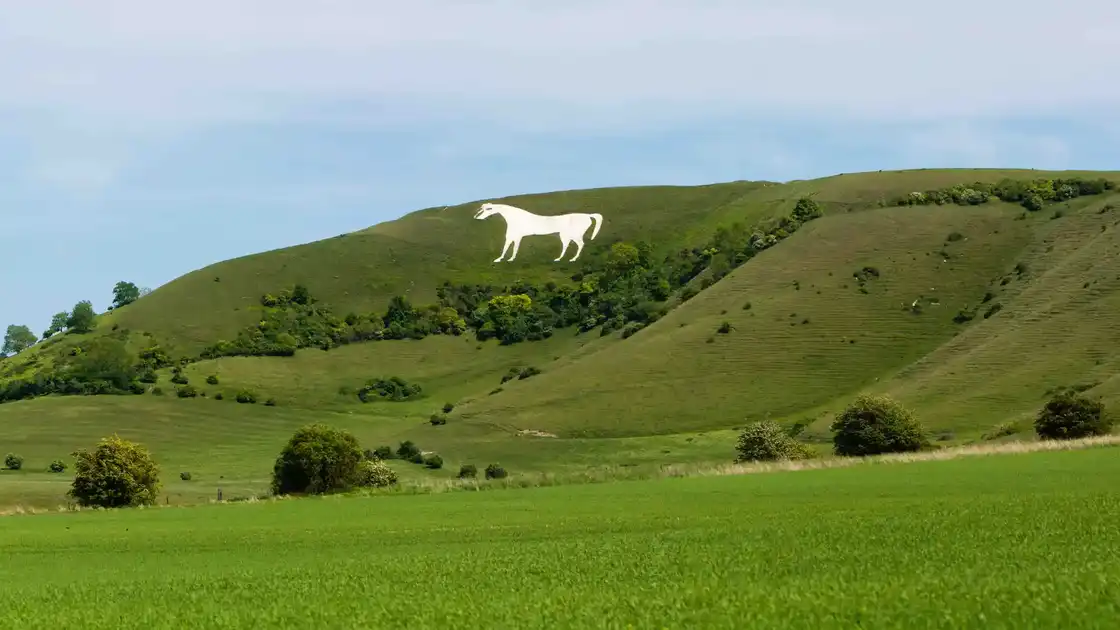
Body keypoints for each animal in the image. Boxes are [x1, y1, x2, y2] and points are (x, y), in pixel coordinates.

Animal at [473, 202, 603, 262]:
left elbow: (514, 248)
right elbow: (507, 247)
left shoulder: (517, 237)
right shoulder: (511, 236)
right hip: (566, 235)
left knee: (580, 244)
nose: (476, 217)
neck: (514, 217)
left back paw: (573, 259)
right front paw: (500, 259)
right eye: (481, 209)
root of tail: (588, 215)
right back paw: (559, 258)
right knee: (567, 245)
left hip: (574, 235)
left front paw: (510, 259)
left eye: (487, 209)